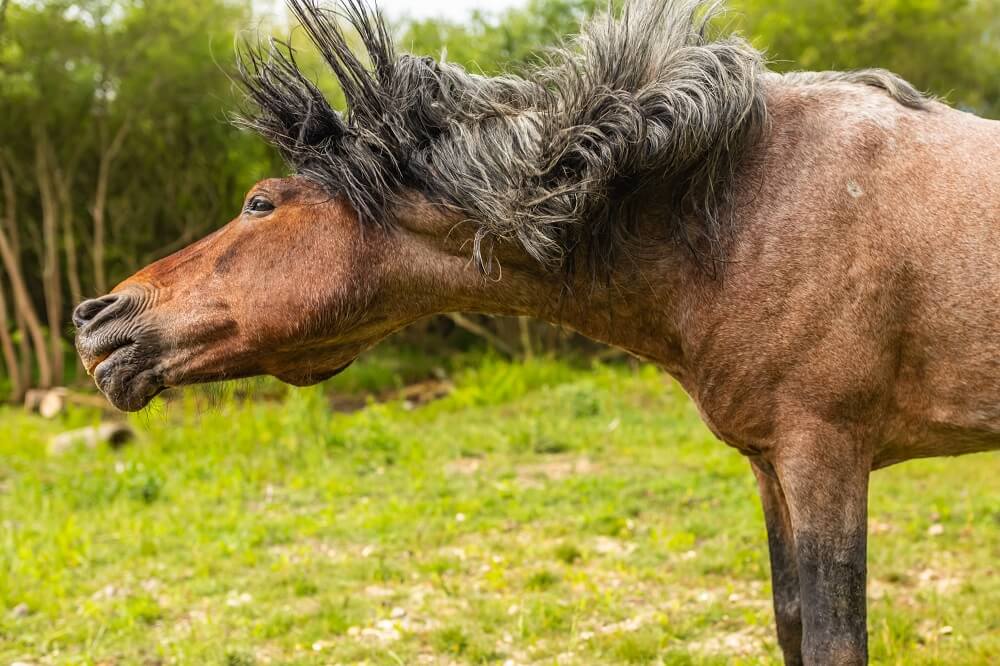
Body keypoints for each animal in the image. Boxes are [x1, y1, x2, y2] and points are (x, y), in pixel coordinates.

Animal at [72, 1, 1000, 660]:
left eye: (260, 204)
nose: (99, 319)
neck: (736, 207)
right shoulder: (773, 465)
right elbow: (792, 625)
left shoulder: (825, 455)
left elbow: (836, 640)